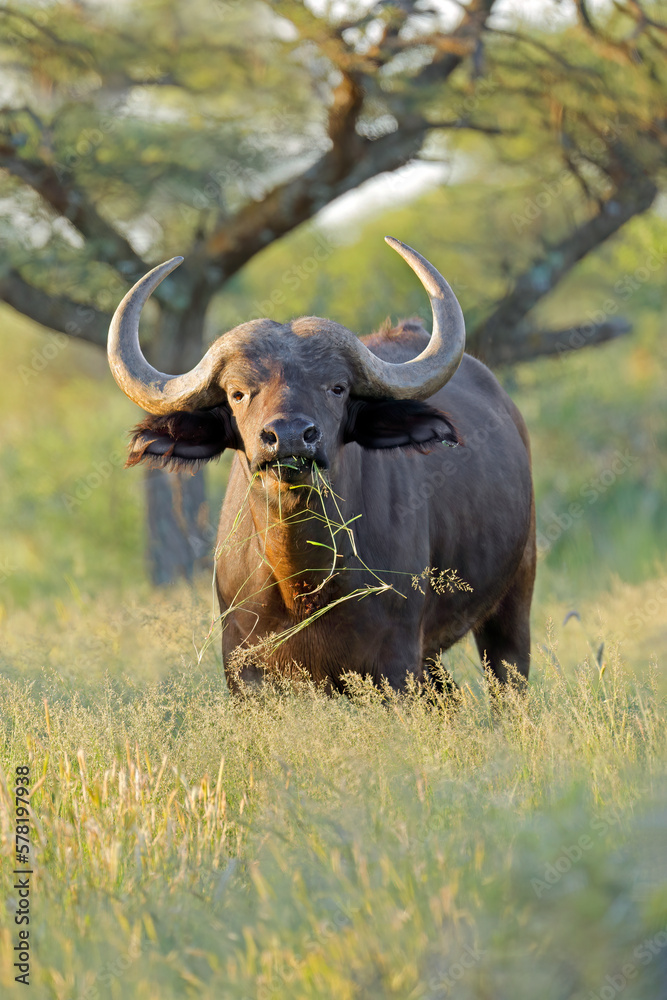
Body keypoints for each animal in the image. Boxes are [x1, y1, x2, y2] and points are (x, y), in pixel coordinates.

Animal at [108, 238, 535, 694]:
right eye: (238, 393)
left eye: (337, 388)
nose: (290, 437)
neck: (303, 583)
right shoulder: (244, 671)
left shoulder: (396, 666)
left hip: (512, 608)